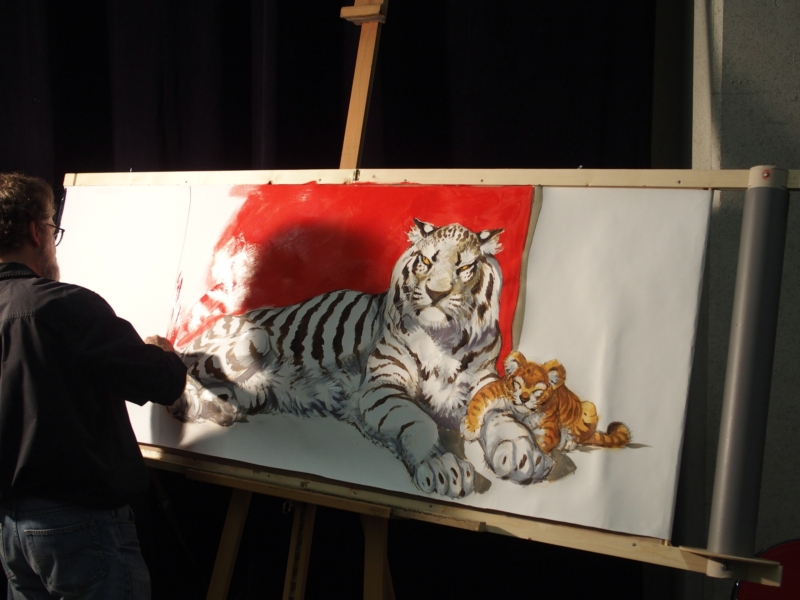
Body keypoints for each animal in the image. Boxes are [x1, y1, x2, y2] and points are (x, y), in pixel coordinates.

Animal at [167, 219, 551, 498]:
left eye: (464, 268)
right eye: (427, 261)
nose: (435, 293)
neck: (444, 338)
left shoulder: (486, 383)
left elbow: (505, 418)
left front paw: (524, 453)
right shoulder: (382, 385)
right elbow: (419, 420)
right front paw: (442, 464)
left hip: (256, 390)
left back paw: (218, 409)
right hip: (252, 340)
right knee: (181, 370)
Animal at [461, 351, 631, 455]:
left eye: (537, 390)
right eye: (518, 384)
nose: (524, 398)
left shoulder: (549, 430)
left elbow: (542, 443)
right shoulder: (497, 390)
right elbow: (477, 403)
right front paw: (470, 429)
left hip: (589, 407)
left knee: (580, 437)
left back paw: (568, 444)